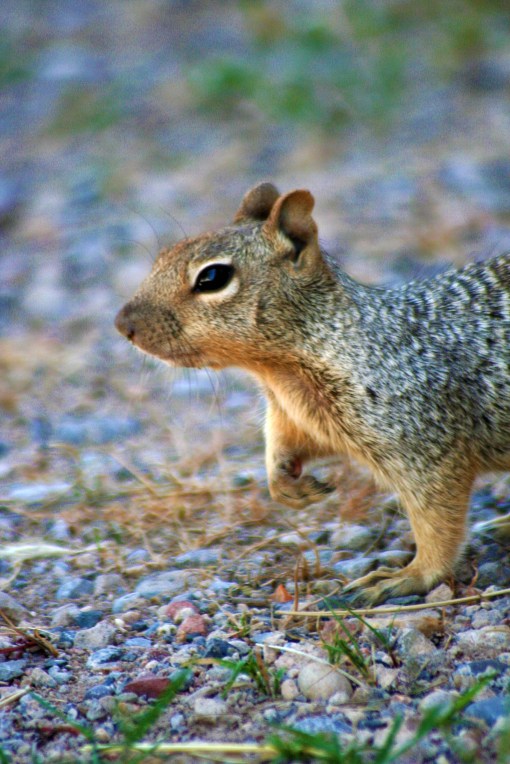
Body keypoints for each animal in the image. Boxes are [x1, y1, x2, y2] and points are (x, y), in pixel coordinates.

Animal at [115, 182, 510, 604]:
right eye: (163, 256)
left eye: (213, 277)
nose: (122, 324)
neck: (279, 373)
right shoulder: (297, 417)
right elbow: (285, 444)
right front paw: (283, 483)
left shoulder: (429, 446)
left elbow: (438, 523)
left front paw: (407, 576)